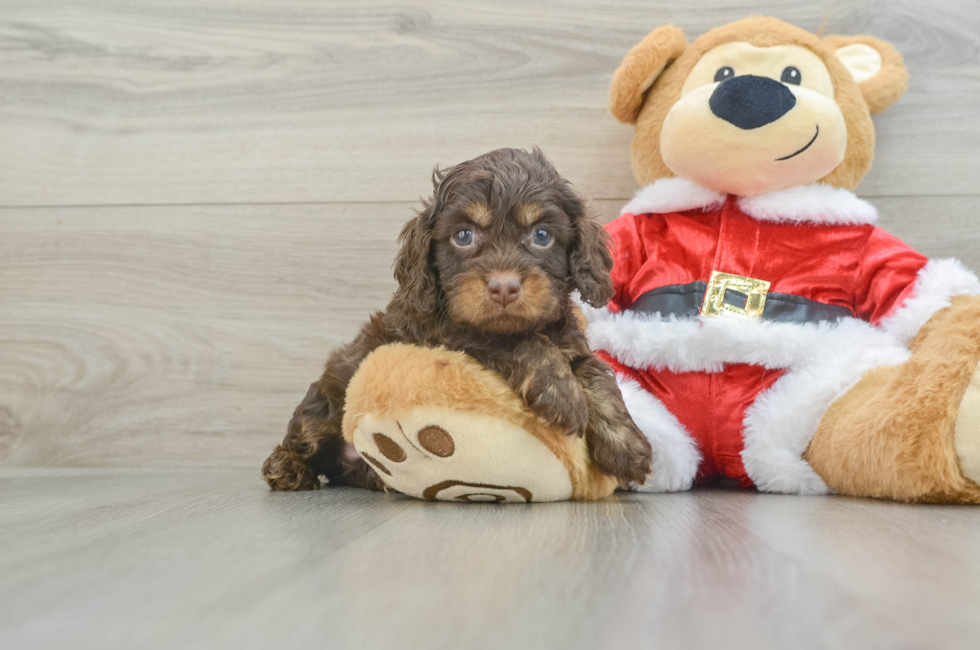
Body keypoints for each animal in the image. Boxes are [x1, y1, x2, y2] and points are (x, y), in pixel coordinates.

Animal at [264, 148, 656, 492]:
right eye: (463, 236)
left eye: (542, 235)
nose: (503, 288)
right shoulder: (443, 330)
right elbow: (517, 342)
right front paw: (563, 395)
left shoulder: (571, 340)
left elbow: (597, 373)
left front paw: (628, 446)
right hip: (326, 400)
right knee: (303, 437)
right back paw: (287, 470)